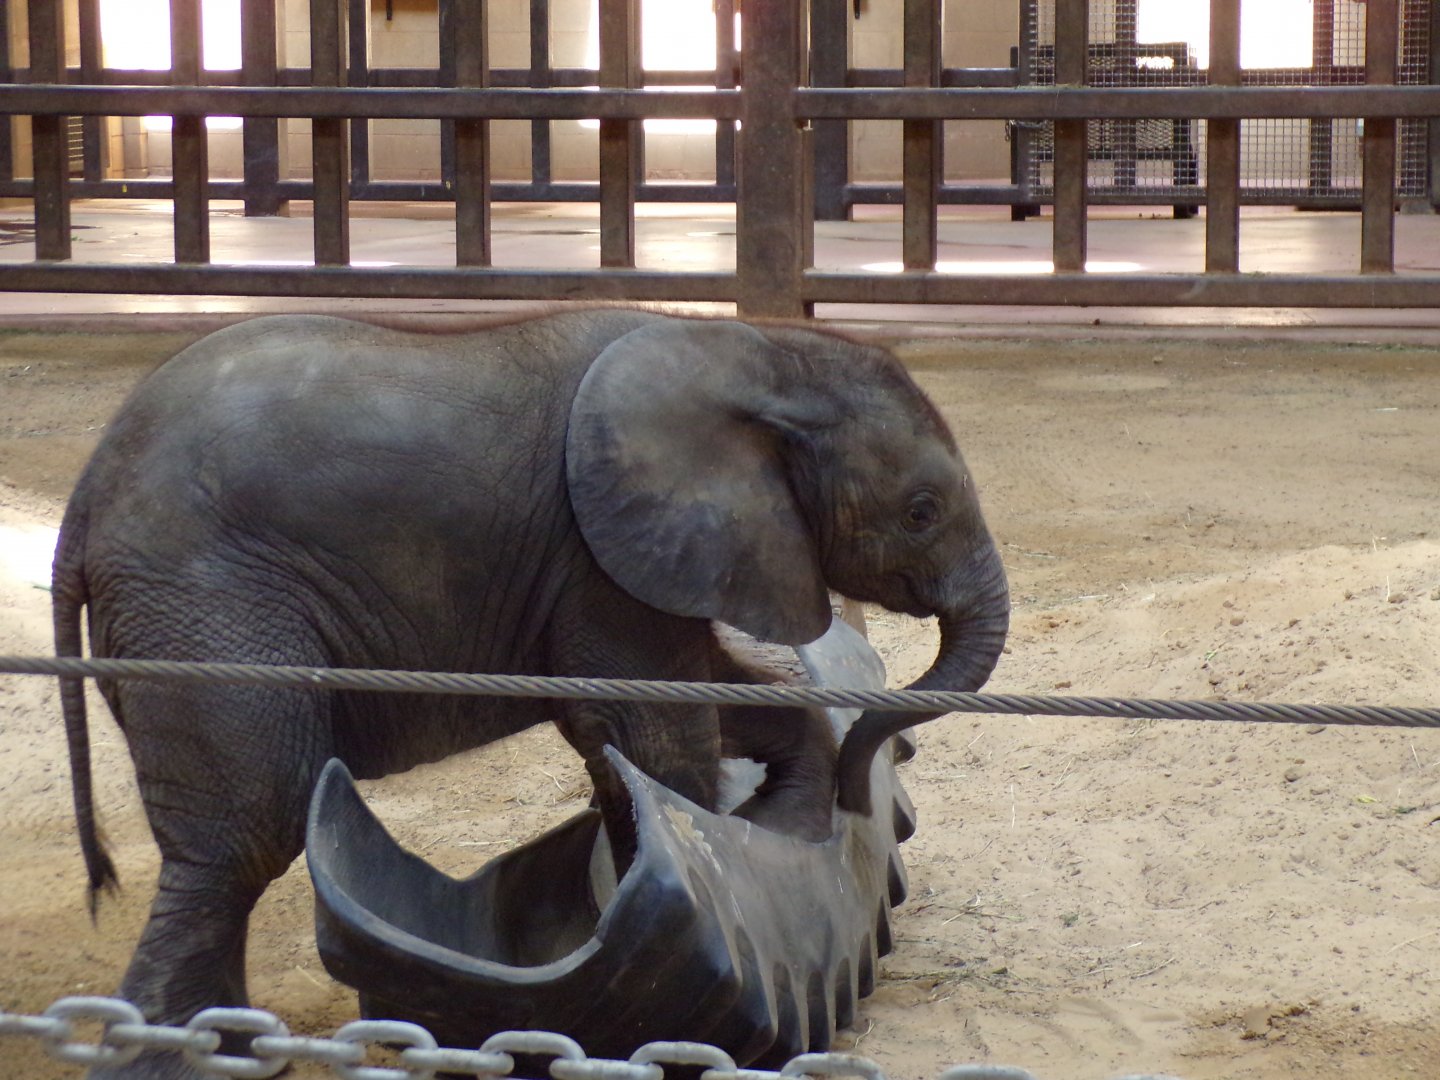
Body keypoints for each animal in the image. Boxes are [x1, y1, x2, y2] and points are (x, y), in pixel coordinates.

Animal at [51, 308, 1009, 1075]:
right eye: (921, 511)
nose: (863, 787)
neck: (761, 353)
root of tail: (84, 498)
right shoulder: (603, 546)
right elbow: (655, 723)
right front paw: (743, 846)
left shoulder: (638, 553)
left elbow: (681, 699)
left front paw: (779, 823)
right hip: (207, 608)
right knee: (245, 836)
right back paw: (179, 1063)